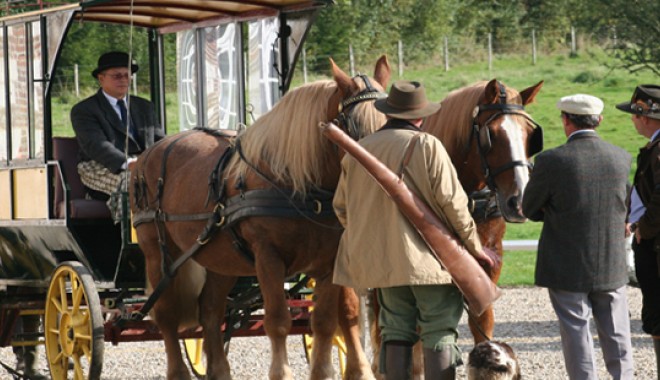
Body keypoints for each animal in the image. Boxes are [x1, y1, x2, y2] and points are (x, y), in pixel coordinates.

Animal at [131, 56, 392, 380]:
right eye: (354, 127)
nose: (385, 181)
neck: (298, 184)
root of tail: (146, 155)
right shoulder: (268, 258)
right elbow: (278, 320)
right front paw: (281, 372)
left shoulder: (330, 262)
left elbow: (325, 322)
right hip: (158, 253)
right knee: (166, 315)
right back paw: (178, 371)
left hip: (221, 260)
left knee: (210, 309)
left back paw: (220, 370)